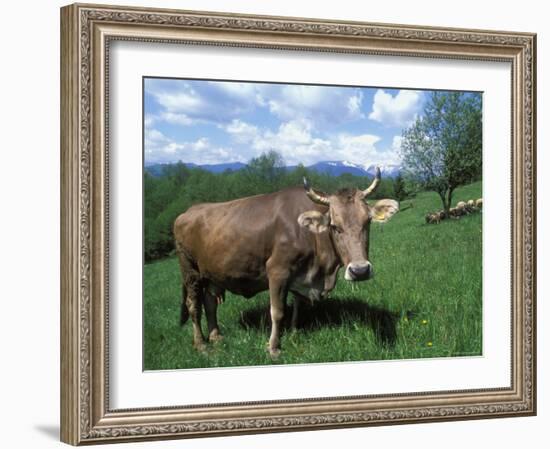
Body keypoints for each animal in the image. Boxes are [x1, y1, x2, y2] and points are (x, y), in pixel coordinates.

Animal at [175, 168, 398, 356]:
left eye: (367, 222)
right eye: (335, 226)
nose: (360, 271)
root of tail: (188, 211)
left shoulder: (301, 275)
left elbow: (297, 304)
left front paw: (293, 331)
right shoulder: (277, 271)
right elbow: (277, 311)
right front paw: (273, 347)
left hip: (212, 273)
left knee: (210, 302)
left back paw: (216, 336)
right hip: (190, 270)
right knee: (194, 305)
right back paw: (201, 344)